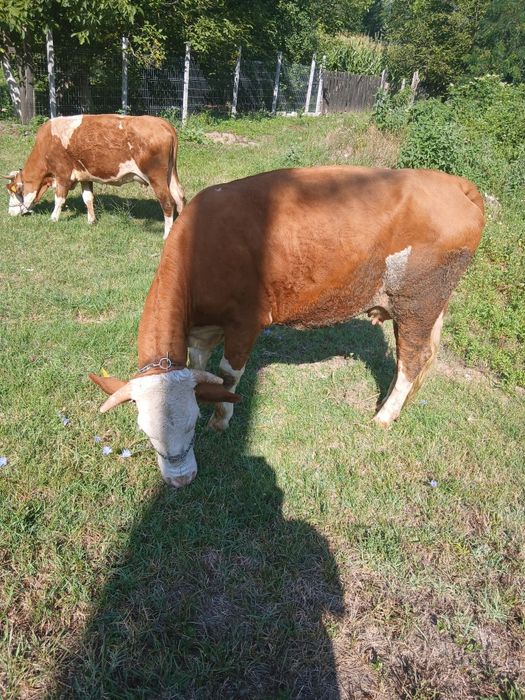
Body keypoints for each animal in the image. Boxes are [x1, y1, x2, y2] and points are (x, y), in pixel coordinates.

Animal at [3, 114, 185, 238]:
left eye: (15, 191)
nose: (10, 213)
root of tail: (162, 123)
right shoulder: (85, 177)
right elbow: (88, 198)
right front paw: (91, 221)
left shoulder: (63, 175)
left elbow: (59, 199)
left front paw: (53, 218)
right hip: (171, 175)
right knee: (180, 198)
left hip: (156, 177)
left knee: (168, 202)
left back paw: (167, 234)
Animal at [89, 165, 484, 488]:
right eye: (146, 431)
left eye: (189, 426)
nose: (180, 479)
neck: (201, 245)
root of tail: (454, 183)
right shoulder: (200, 331)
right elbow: (203, 368)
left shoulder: (244, 322)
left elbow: (228, 374)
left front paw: (220, 420)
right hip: (427, 306)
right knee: (413, 359)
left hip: (417, 303)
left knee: (412, 360)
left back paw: (386, 415)